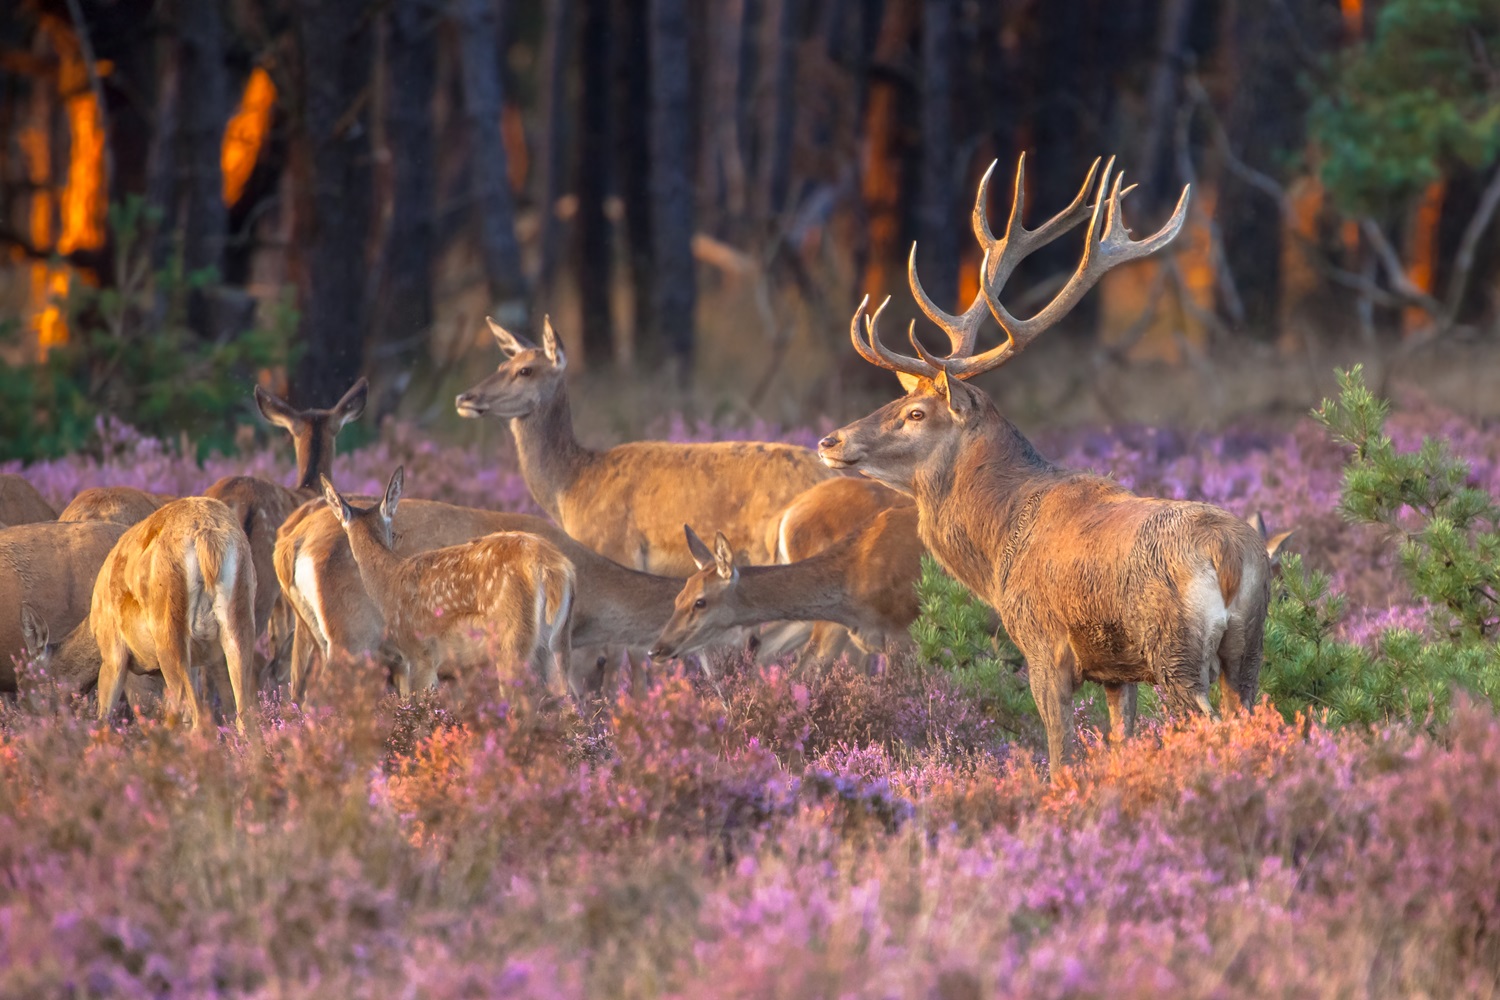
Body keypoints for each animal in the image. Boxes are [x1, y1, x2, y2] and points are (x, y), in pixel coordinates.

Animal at [22, 497, 259, 733]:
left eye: (32, 681)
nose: (28, 719)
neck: (92, 625)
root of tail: (206, 537)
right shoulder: (195, 664)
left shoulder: (113, 653)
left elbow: (104, 717)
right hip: (239, 624)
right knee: (243, 715)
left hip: (169, 632)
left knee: (196, 716)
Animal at [319, 468, 578, 697]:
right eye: (392, 531)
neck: (389, 583)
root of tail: (551, 567)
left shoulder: (418, 652)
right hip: (559, 640)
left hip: (512, 639)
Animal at [815, 154, 1272, 777]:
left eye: (915, 412)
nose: (830, 440)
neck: (997, 541)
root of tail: (1228, 554)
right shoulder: (1116, 670)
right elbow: (1120, 739)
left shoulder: (1043, 644)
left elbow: (1059, 756)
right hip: (1249, 645)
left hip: (1174, 648)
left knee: (1207, 725)